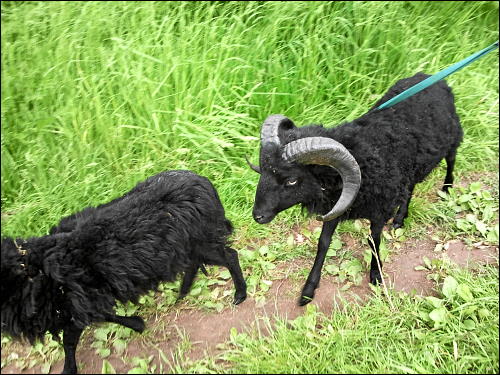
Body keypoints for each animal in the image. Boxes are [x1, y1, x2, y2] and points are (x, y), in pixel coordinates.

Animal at [0, 170, 247, 374]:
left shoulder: (78, 304)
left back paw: (239, 295)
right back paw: (183, 293)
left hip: (201, 240)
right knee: (197, 262)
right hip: (188, 246)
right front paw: (138, 323)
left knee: (230, 255)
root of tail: (204, 182)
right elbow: (103, 316)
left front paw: (69, 369)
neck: (34, 269)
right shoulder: (82, 303)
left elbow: (70, 341)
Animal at [248, 72, 462, 306]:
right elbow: (323, 243)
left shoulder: (379, 209)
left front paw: (376, 275)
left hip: (453, 136)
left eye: (292, 180)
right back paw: (399, 219)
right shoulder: (337, 206)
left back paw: (447, 188)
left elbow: (374, 240)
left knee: (451, 160)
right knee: (410, 186)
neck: (362, 158)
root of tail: (430, 76)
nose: (258, 216)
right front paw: (308, 289)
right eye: (263, 171)